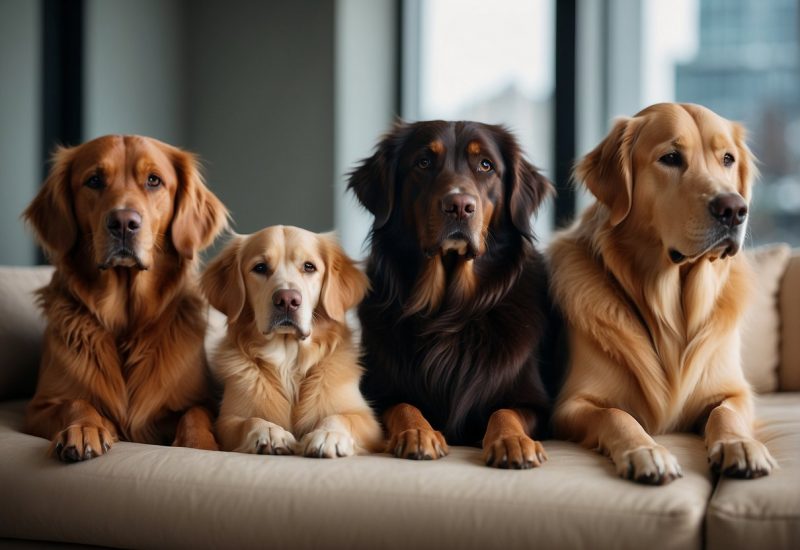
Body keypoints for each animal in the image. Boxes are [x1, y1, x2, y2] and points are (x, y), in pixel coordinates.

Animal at [22, 136, 228, 464]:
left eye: (154, 180)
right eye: (94, 180)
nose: (123, 222)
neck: (126, 319)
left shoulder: (200, 400)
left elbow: (195, 414)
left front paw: (200, 444)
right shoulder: (37, 407)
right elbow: (76, 402)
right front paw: (85, 429)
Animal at [203, 226, 384, 460]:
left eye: (309, 266)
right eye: (260, 267)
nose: (287, 300)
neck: (289, 359)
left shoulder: (368, 420)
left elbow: (340, 417)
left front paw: (328, 435)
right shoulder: (227, 420)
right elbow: (249, 421)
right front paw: (269, 432)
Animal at [346, 121, 560, 470]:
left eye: (486, 165)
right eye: (423, 162)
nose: (459, 206)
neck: (452, 312)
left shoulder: (537, 405)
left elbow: (505, 411)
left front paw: (512, 441)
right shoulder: (376, 392)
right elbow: (403, 405)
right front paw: (418, 433)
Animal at [552, 104, 776, 488]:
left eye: (728, 159)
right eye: (671, 158)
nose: (734, 209)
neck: (672, 305)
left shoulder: (735, 391)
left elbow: (726, 413)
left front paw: (739, 445)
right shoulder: (571, 404)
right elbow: (616, 415)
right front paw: (646, 451)